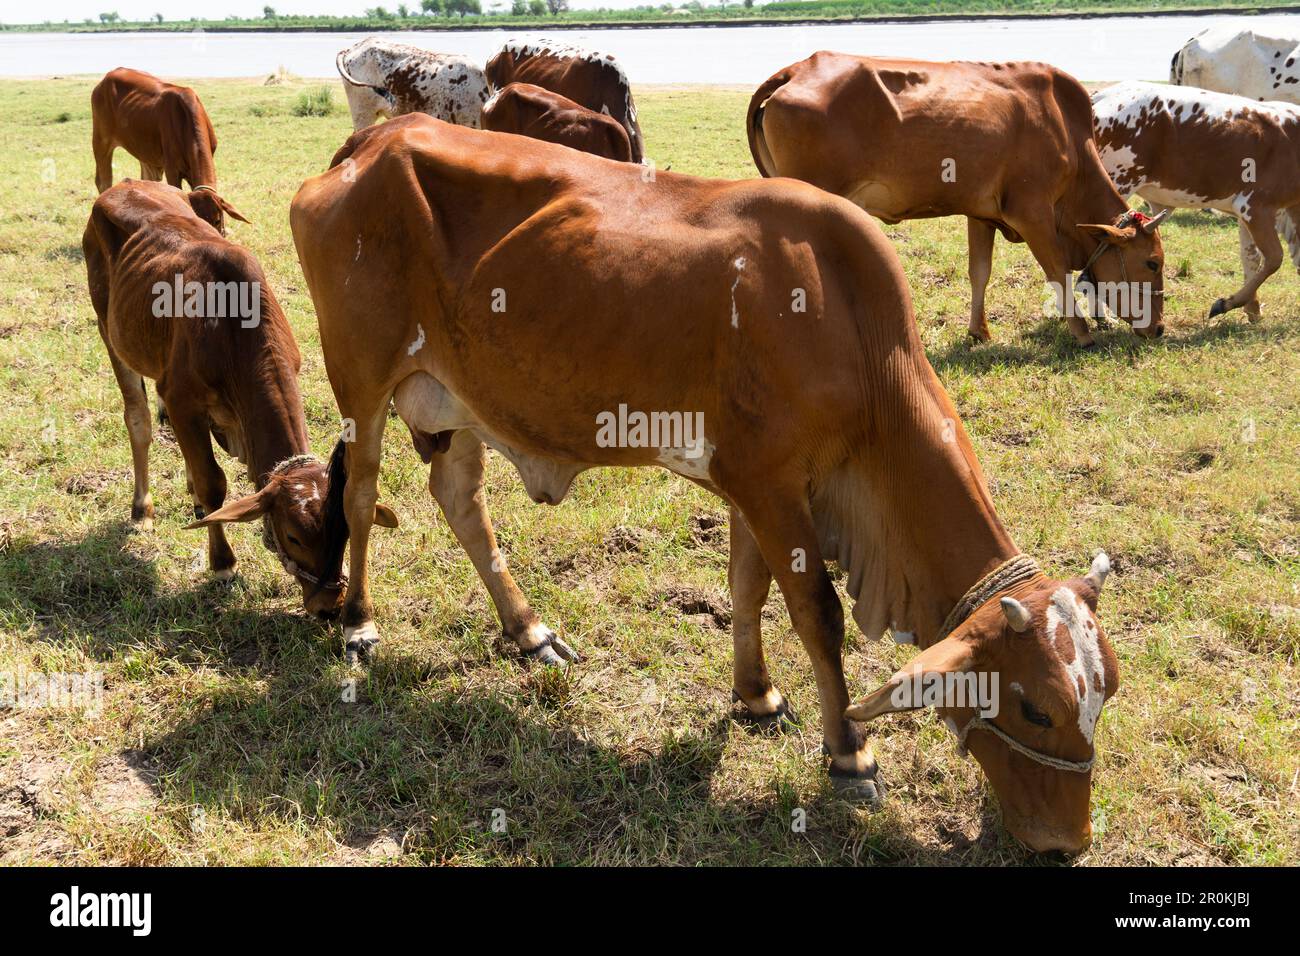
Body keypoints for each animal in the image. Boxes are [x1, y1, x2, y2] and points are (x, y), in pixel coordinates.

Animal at [83, 179, 396, 615]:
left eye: (345, 534)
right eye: (293, 536)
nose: (330, 605)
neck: (231, 327)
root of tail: (124, 185)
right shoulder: (181, 400)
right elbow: (213, 481)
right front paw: (222, 564)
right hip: (108, 331)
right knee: (138, 419)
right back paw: (142, 509)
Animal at [91, 69, 228, 221]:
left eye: (217, 220)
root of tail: (109, 75)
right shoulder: (172, 169)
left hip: (144, 152)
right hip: (101, 142)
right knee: (103, 181)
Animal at [283, 113, 1120, 853]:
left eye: (1103, 692)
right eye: (1033, 708)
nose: (1067, 842)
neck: (858, 337)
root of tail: (377, 138)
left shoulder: (757, 486)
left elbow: (747, 589)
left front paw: (757, 695)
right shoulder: (776, 491)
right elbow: (817, 615)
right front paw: (849, 752)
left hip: (456, 400)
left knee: (461, 502)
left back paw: (529, 631)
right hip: (362, 379)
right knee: (360, 496)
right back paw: (358, 620)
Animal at [747, 52, 1169, 347]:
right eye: (1152, 262)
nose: (1160, 328)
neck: (1065, 128)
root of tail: (798, 69)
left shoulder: (981, 214)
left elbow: (979, 271)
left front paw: (978, 331)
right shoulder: (1033, 213)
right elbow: (1057, 272)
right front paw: (1082, 334)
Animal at [1093, 81, 1300, 321]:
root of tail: (1099, 97)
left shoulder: (1249, 212)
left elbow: (1251, 257)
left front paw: (1252, 309)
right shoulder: (1257, 207)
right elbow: (1275, 258)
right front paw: (1227, 303)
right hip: (1116, 182)